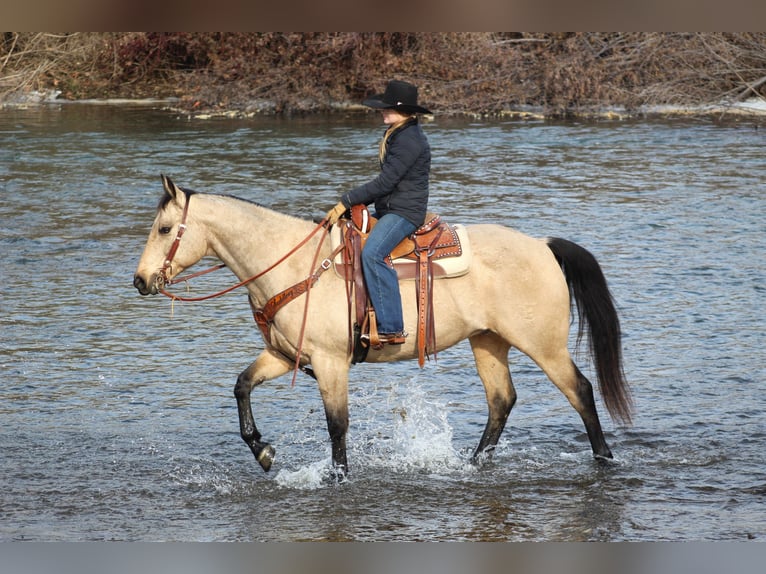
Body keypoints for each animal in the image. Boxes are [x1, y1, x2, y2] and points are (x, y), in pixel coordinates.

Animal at [134, 176, 636, 476]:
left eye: (164, 229)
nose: (140, 281)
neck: (296, 264)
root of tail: (542, 244)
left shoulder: (330, 362)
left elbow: (337, 425)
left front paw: (337, 477)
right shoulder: (283, 355)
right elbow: (241, 386)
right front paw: (262, 451)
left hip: (542, 344)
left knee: (580, 390)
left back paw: (604, 458)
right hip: (488, 342)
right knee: (501, 402)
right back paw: (472, 464)